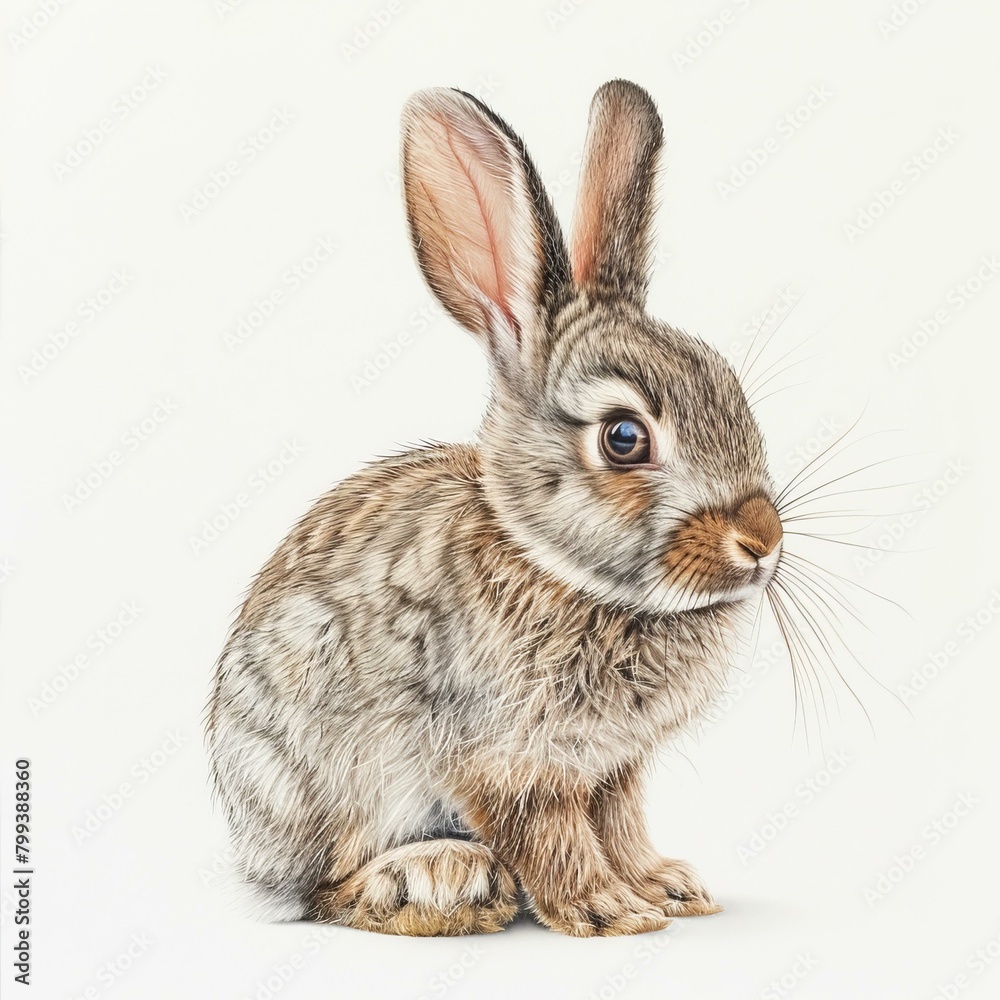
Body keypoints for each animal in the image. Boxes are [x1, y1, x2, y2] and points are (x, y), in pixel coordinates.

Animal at [206, 79, 783, 937]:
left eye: (731, 389)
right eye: (623, 438)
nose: (761, 539)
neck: (559, 567)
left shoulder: (611, 766)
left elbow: (618, 821)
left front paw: (665, 887)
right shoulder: (503, 758)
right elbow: (549, 835)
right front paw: (606, 909)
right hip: (325, 771)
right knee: (325, 886)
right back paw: (436, 879)